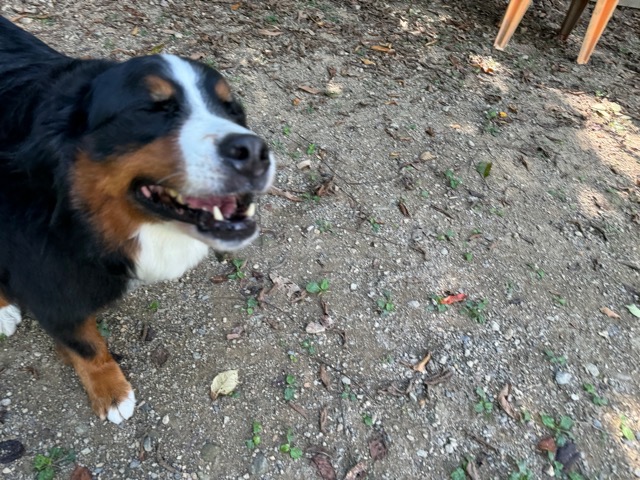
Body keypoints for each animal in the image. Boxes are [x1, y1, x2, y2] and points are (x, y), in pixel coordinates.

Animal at [0, 16, 275, 424]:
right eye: (154, 109)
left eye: (232, 110)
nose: (255, 152)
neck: (72, 215)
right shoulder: (51, 289)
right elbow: (86, 346)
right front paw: (111, 391)